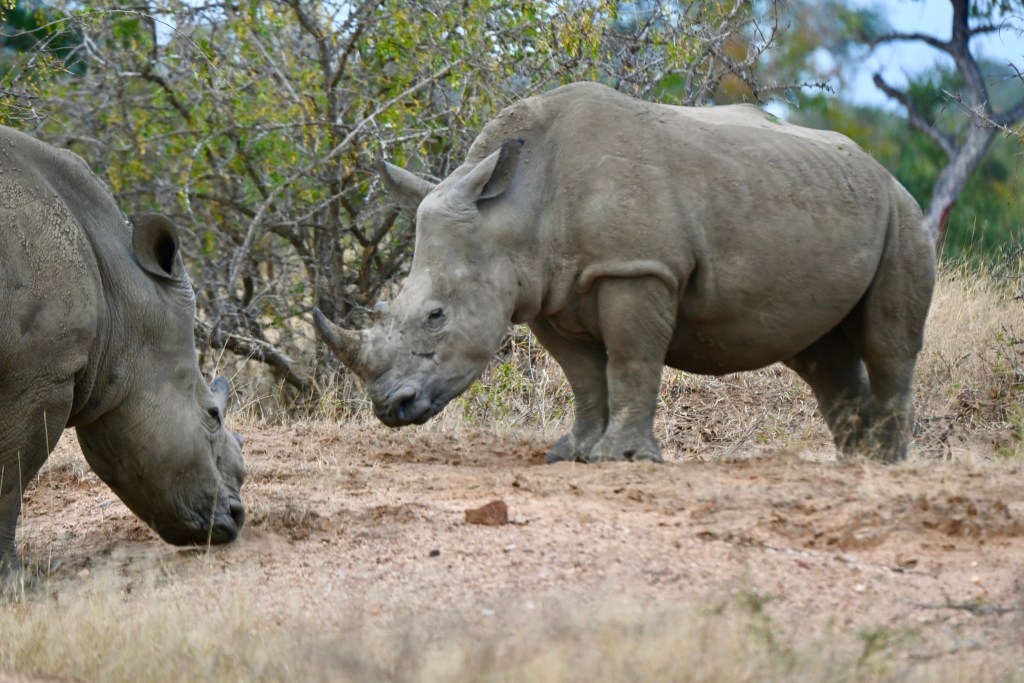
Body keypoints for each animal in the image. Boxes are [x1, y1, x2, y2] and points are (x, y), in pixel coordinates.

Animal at [0, 125, 245, 581]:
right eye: (212, 416)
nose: (238, 518)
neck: (122, 297)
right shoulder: (37, 375)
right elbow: (10, 476)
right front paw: (14, 579)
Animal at [314, 82, 935, 464]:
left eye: (436, 316)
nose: (389, 410)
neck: (512, 212)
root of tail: (881, 168)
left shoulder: (637, 270)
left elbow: (633, 360)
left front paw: (623, 458)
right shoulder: (546, 292)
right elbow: (584, 376)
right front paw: (573, 454)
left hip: (903, 215)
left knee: (887, 345)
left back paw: (889, 466)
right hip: (823, 199)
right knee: (818, 353)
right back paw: (857, 462)